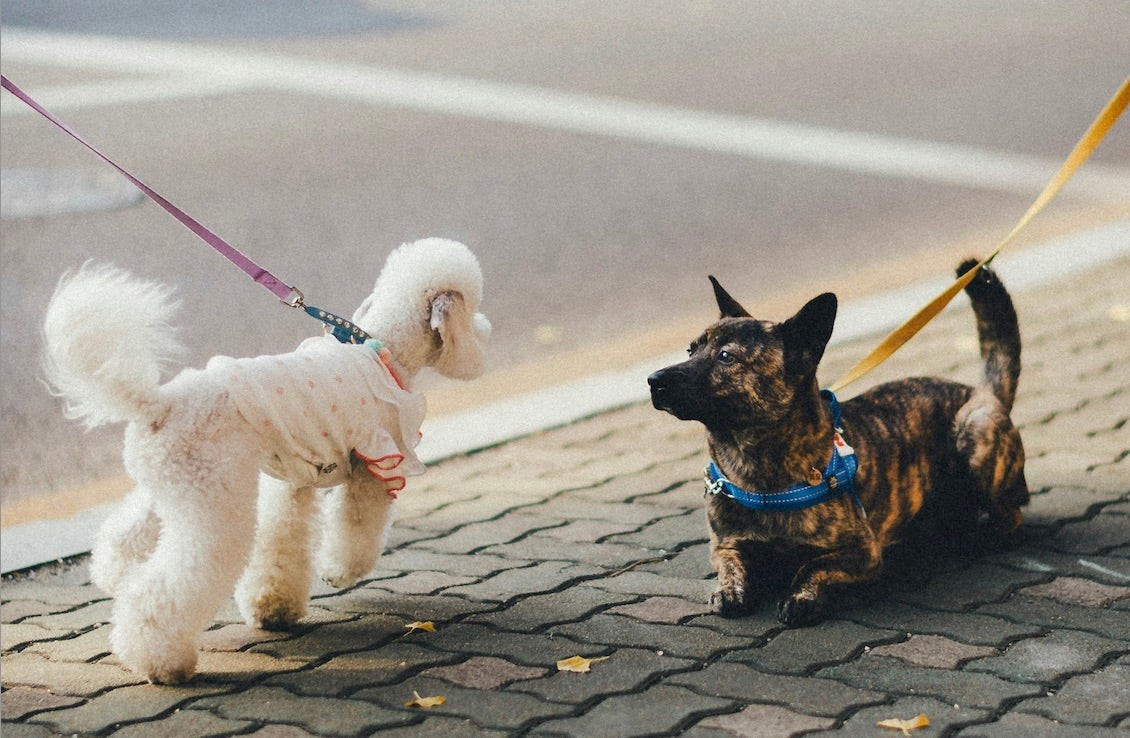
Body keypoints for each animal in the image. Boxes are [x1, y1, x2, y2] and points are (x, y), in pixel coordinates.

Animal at [650, 262, 1030, 623]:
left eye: (726, 357)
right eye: (690, 350)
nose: (654, 380)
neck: (755, 465)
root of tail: (982, 392)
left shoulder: (863, 551)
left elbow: (813, 565)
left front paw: (801, 597)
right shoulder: (725, 545)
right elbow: (731, 564)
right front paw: (730, 590)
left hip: (975, 433)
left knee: (1010, 516)